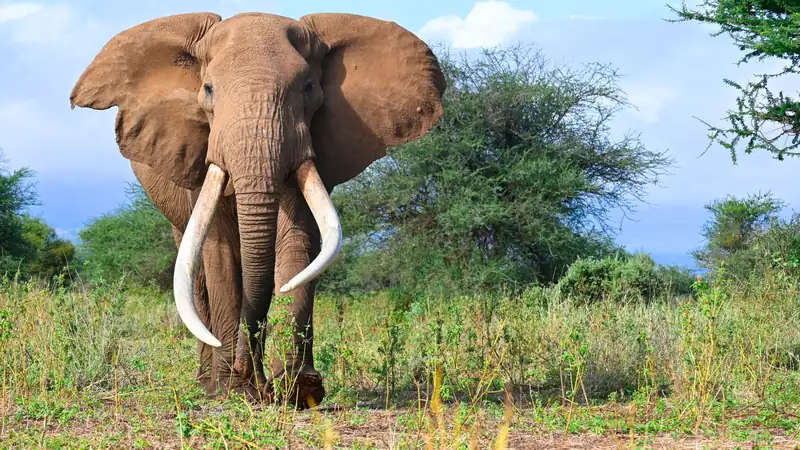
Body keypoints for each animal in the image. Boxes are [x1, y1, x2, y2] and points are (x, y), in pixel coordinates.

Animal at [69, 11, 445, 407]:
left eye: (308, 88)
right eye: (208, 89)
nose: (246, 375)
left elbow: (299, 242)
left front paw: (299, 388)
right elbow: (219, 252)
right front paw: (232, 390)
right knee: (195, 270)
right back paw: (207, 383)